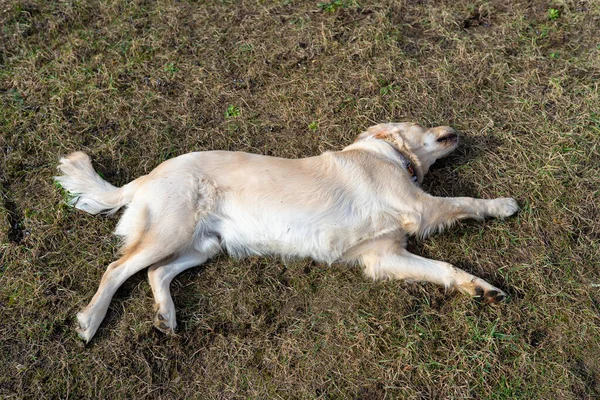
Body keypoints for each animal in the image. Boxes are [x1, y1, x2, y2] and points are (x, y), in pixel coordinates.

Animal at [54, 123, 516, 342]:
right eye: (421, 124)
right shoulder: (419, 206)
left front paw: (482, 289)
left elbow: (444, 268)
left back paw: (165, 316)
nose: (453, 128)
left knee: (156, 272)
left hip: (204, 244)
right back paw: (89, 322)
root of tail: (147, 175)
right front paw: (503, 204)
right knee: (117, 269)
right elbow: (464, 201)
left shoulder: (385, 256)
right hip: (171, 230)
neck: (388, 155)